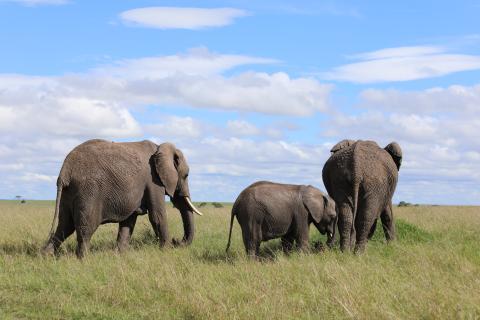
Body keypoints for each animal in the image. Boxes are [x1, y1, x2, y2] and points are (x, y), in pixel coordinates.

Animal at [41, 139, 204, 258]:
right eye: (186, 175)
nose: (177, 241)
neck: (160, 147)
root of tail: (65, 170)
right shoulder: (153, 180)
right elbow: (157, 216)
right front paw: (166, 251)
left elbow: (128, 221)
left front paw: (120, 255)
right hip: (88, 191)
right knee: (85, 229)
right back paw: (84, 260)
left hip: (69, 192)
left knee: (64, 226)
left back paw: (46, 257)